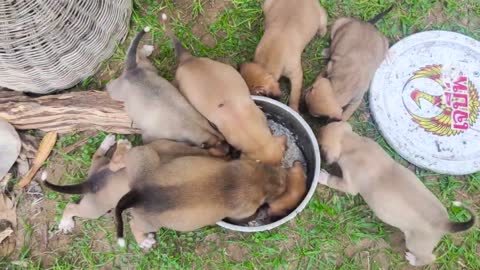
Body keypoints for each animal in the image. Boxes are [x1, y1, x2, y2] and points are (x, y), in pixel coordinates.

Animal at [106, 27, 226, 155]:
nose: (232, 152)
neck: (193, 124)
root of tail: (132, 69)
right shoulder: (149, 136)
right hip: (116, 92)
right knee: (110, 85)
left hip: (149, 67)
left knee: (139, 54)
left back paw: (147, 50)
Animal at [316, 122, 474, 266]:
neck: (354, 145)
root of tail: (445, 224)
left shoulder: (350, 185)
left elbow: (335, 181)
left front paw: (323, 176)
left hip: (415, 244)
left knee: (429, 258)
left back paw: (414, 260)